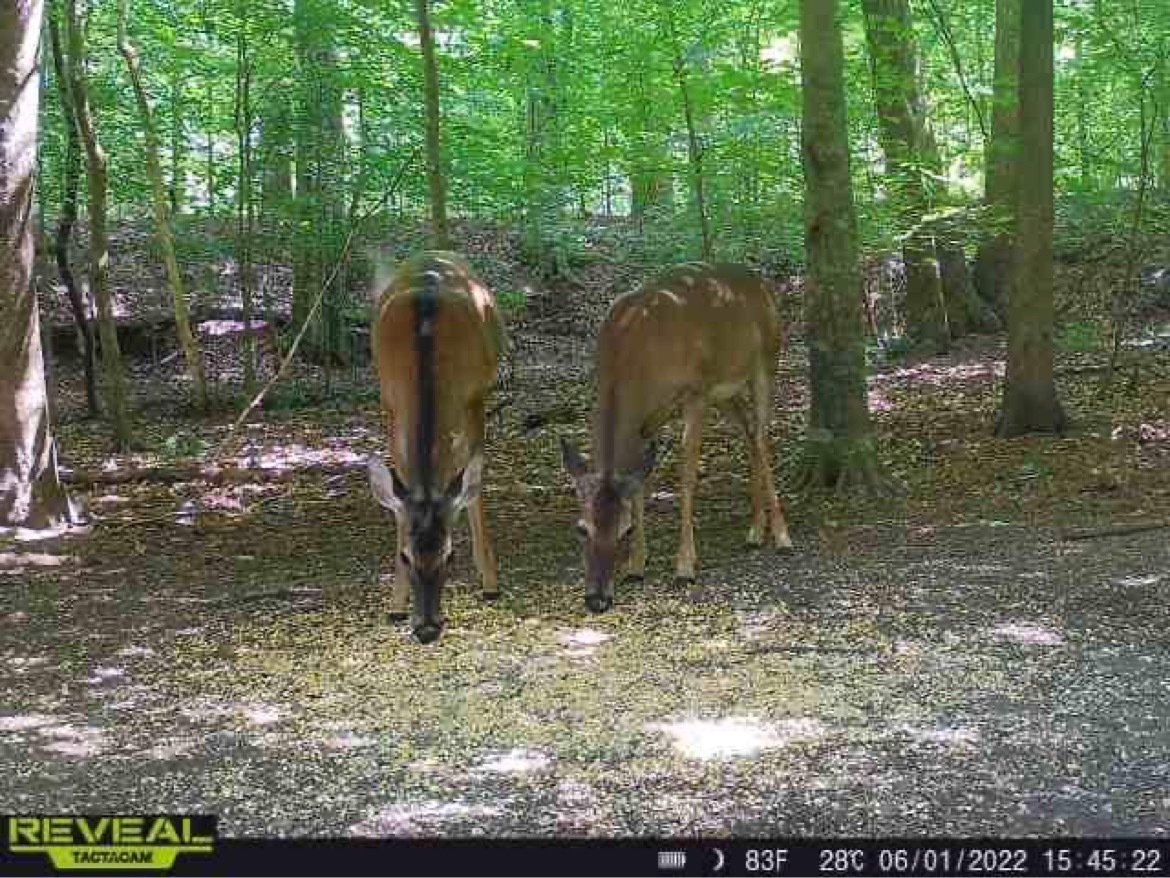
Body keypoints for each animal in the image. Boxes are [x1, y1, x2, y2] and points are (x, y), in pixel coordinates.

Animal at [368, 251, 503, 643]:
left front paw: (491, 583)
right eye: (404, 556)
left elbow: (473, 488)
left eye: (450, 555)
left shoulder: (474, 402)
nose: (427, 628)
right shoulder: (393, 408)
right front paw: (395, 606)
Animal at [561, 262, 793, 614]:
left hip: (766, 362)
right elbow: (641, 484)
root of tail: (762, 285)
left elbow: (686, 477)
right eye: (580, 528)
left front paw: (684, 566)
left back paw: (780, 536)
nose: (597, 600)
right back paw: (754, 531)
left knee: (764, 438)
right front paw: (637, 567)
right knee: (750, 434)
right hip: (727, 393)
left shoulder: (695, 393)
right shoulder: (647, 420)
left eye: (625, 531)